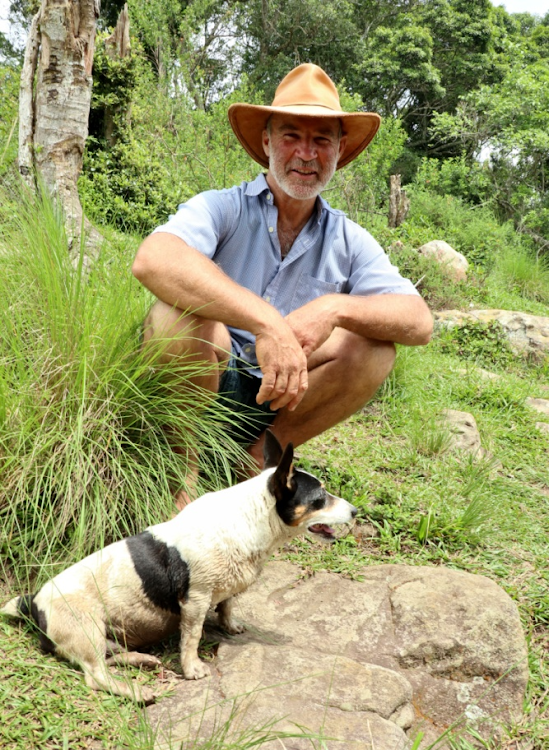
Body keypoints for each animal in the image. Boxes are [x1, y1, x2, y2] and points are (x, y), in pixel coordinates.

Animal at [0, 432, 356, 708]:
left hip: (102, 635)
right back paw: (137, 691)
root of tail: (33, 602)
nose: (354, 511)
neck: (250, 520)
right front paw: (192, 668)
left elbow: (228, 605)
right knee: (96, 675)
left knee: (110, 657)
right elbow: (192, 637)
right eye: (320, 498)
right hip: (85, 628)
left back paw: (142, 660)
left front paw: (231, 626)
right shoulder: (195, 601)